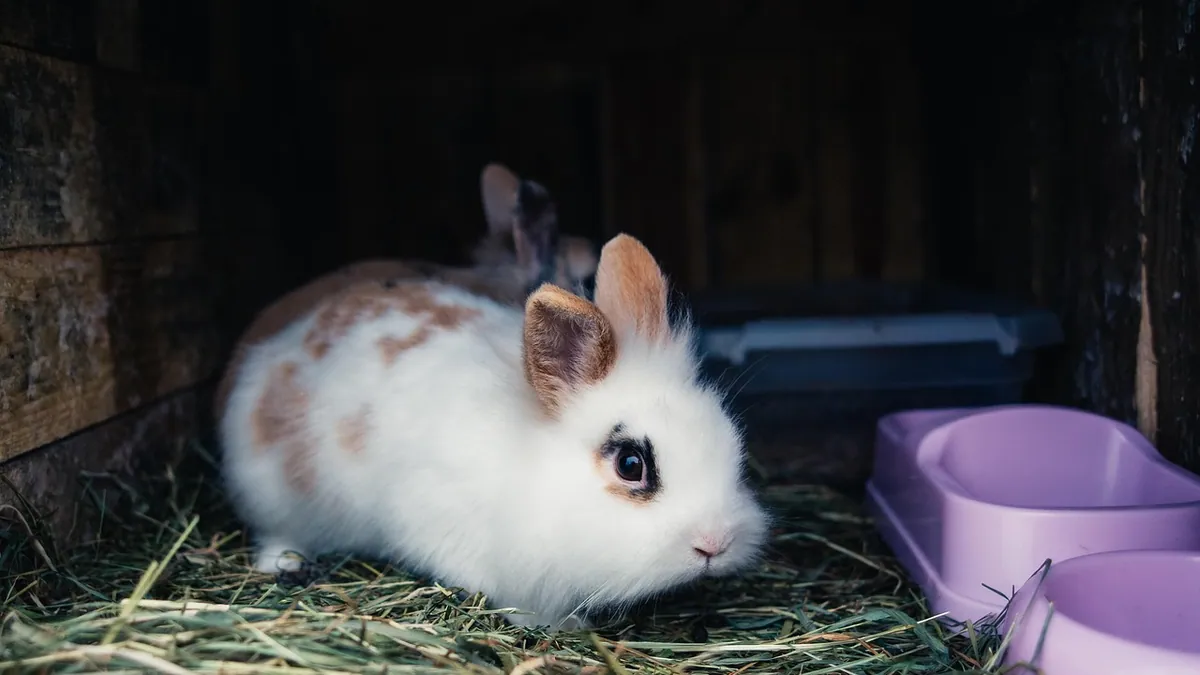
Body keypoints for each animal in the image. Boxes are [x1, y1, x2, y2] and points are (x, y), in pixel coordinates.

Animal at [216, 232, 770, 630]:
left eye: (731, 443)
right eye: (630, 465)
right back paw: (283, 564)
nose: (715, 543)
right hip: (273, 495)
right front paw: (564, 628)